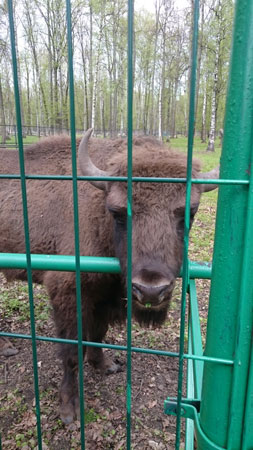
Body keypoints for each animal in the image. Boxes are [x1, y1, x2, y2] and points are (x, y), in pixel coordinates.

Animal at [0, 129, 217, 422]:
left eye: (189, 212)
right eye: (117, 212)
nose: (151, 290)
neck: (97, 212)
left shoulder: (103, 296)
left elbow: (97, 333)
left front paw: (104, 365)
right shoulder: (68, 292)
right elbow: (72, 350)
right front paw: (70, 409)